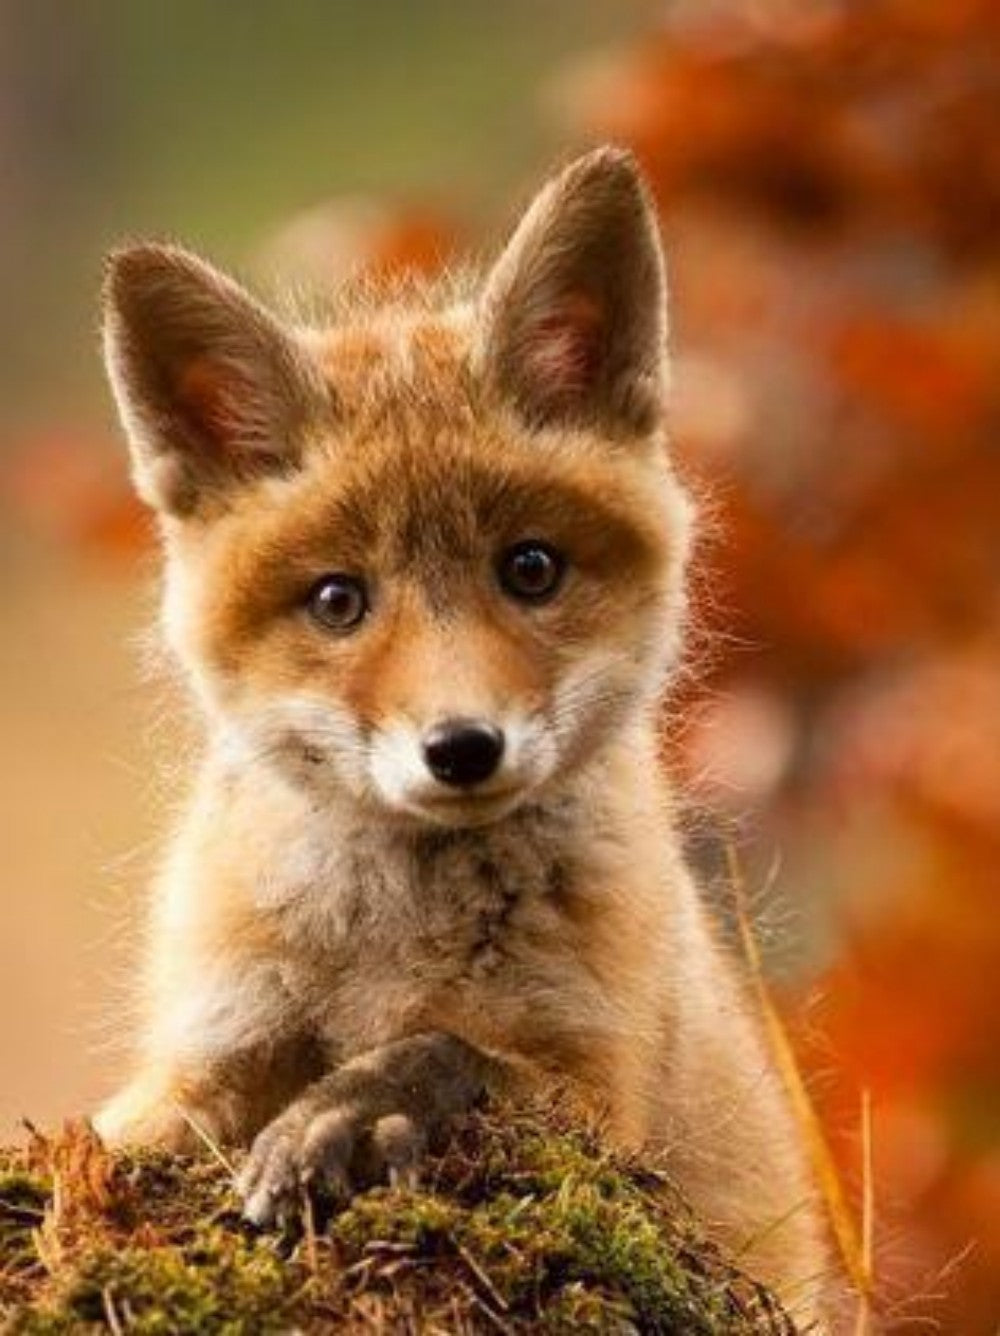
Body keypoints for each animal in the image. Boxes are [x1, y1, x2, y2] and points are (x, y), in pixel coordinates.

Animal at [95, 147, 832, 1324]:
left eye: (529, 568)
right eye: (338, 600)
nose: (462, 748)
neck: (390, 938)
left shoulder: (602, 1098)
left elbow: (448, 1053)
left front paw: (347, 1113)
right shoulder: (204, 1055)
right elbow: (123, 1134)